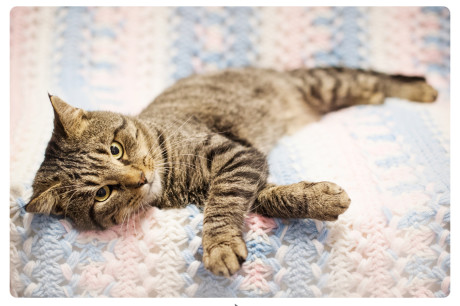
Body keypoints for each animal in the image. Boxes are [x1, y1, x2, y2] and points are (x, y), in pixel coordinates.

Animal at [26, 67, 438, 278]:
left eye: (116, 148)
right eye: (102, 194)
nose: (140, 178)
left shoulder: (236, 156)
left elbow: (222, 204)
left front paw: (220, 244)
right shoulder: (247, 170)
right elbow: (270, 197)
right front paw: (319, 197)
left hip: (322, 85)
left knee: (372, 79)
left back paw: (423, 92)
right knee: (370, 88)